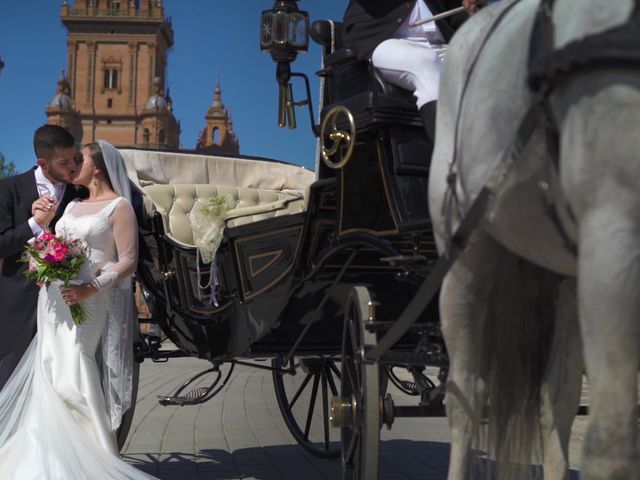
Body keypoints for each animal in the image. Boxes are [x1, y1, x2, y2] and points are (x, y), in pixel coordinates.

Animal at [430, 0, 640, 480]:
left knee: (556, 402)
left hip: (569, 276)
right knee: (465, 396)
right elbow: (613, 444)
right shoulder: (615, 237)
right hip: (465, 262)